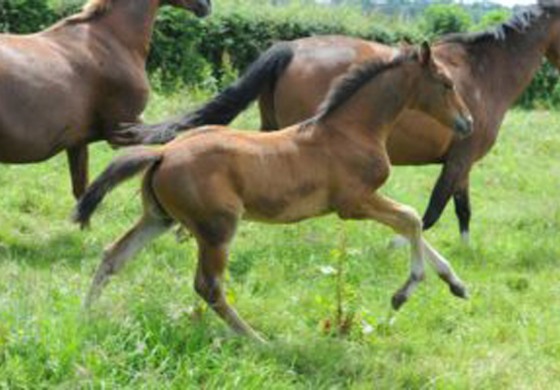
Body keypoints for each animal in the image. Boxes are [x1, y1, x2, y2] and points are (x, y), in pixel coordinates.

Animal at [73, 43, 472, 342]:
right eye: (446, 83)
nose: (467, 122)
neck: (350, 130)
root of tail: (163, 152)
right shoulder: (354, 202)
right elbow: (411, 218)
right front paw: (403, 293)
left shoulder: (364, 202)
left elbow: (413, 224)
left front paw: (457, 284)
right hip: (217, 228)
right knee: (208, 286)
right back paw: (257, 340)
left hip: (160, 218)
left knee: (113, 256)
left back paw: (87, 314)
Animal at [126, 1, 560, 242]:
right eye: (447, 84)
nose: (465, 119)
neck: (484, 73)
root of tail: (288, 48)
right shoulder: (460, 158)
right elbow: (435, 209)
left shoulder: (462, 160)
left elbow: (462, 209)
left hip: (272, 134)